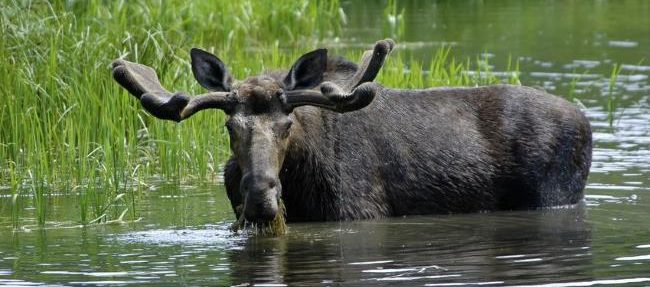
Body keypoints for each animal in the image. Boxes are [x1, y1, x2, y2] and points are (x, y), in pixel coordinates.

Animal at [110, 38, 588, 225]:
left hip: (556, 196)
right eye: (230, 126)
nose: (260, 197)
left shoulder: (359, 214)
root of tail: (586, 121)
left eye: (287, 124)